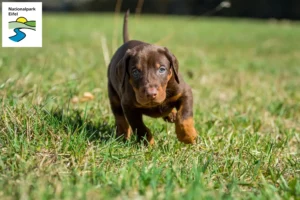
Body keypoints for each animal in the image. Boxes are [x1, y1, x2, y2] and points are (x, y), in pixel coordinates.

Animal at [107, 10, 197, 145]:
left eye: (162, 69)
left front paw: (187, 136)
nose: (150, 94)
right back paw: (122, 135)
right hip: (113, 94)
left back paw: (171, 114)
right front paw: (148, 143)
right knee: (119, 117)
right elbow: (139, 127)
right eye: (135, 71)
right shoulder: (128, 105)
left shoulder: (184, 92)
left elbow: (184, 116)